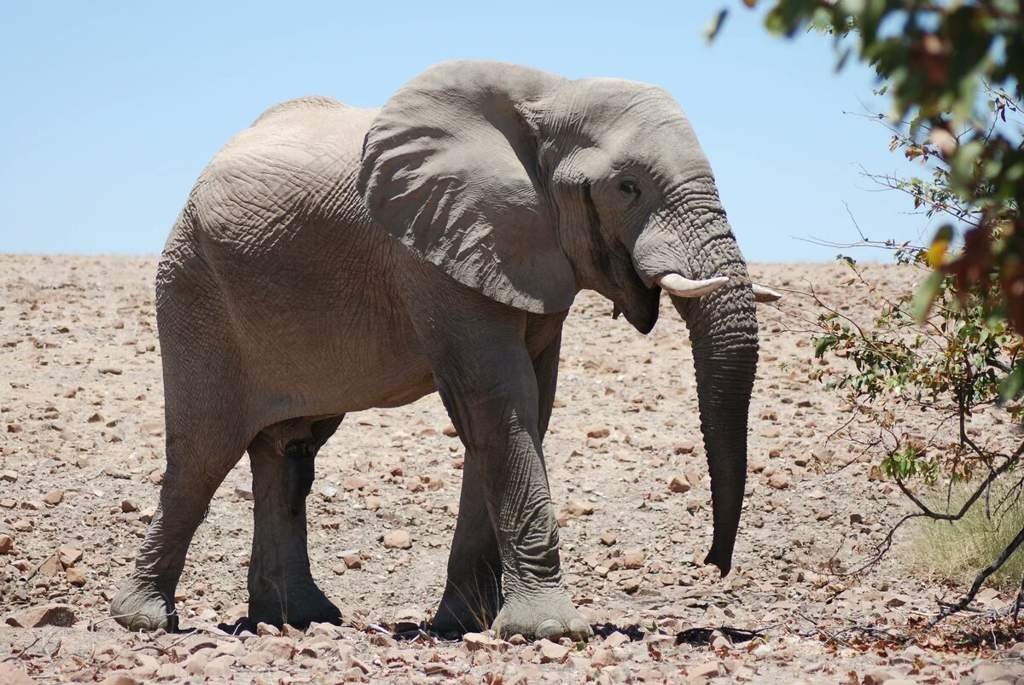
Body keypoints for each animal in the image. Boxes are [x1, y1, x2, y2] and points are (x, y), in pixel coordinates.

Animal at [110, 58, 774, 643]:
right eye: (627, 187)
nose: (712, 565)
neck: (550, 92)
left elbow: (525, 408)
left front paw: (464, 626)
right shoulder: (434, 252)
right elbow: (497, 400)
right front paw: (549, 632)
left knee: (290, 451)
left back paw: (300, 619)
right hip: (193, 288)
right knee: (204, 451)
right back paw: (144, 620)